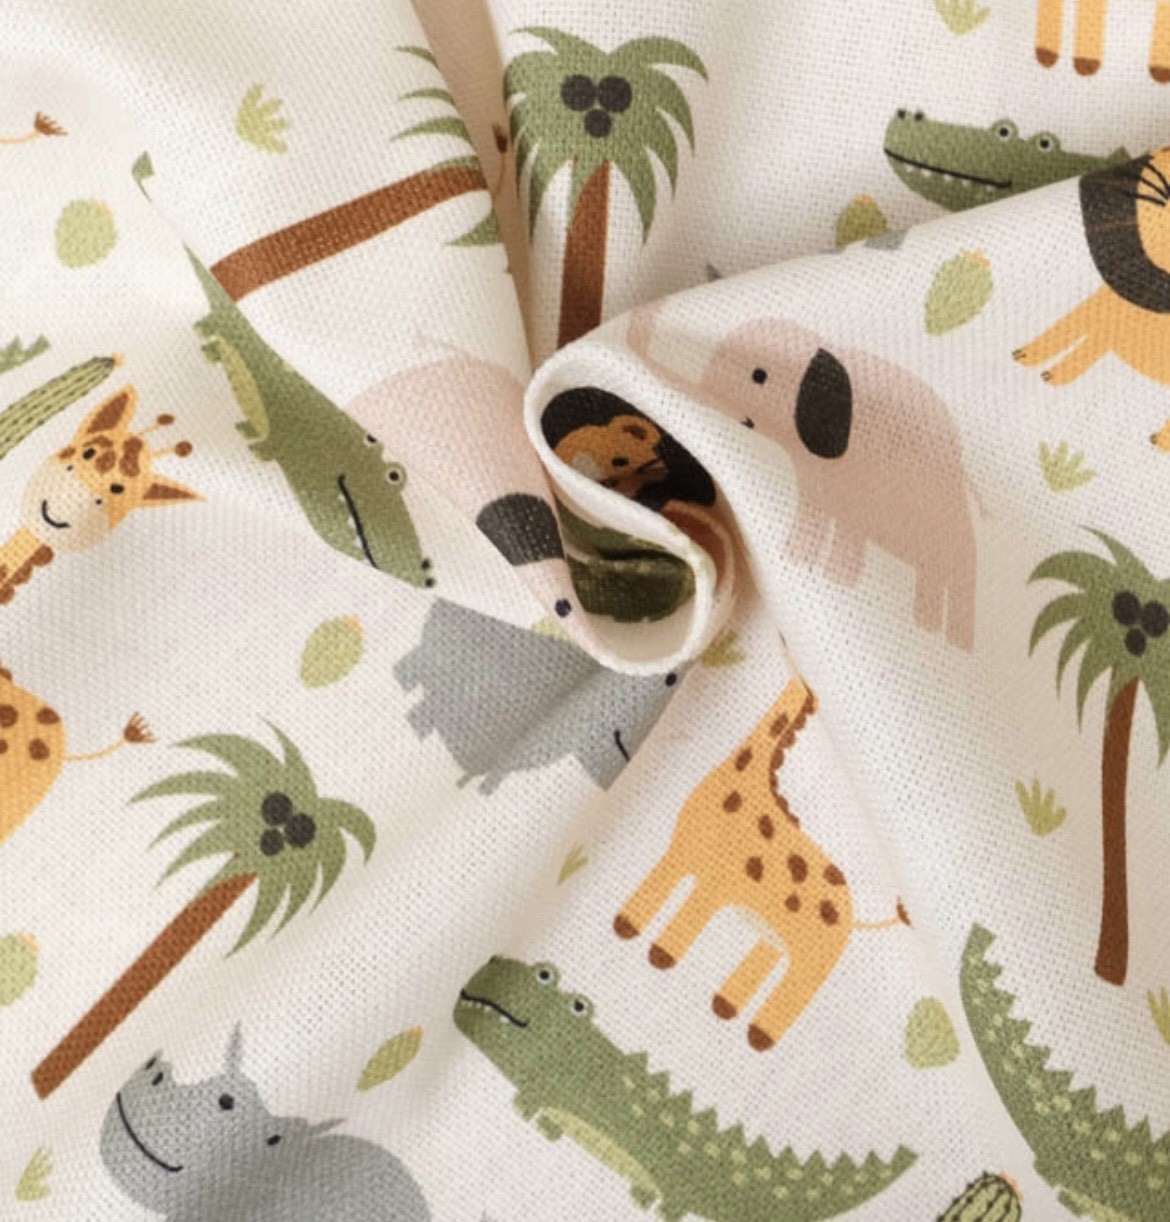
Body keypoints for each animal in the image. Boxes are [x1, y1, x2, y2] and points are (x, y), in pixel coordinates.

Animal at [614, 676, 909, 1052]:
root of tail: (853, 915)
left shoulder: (715, 885)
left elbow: (689, 917)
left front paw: (660, 955)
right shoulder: (679, 854)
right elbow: (656, 888)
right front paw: (626, 928)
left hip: (814, 956)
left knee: (798, 989)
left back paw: (760, 1036)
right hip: (773, 937)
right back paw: (726, 1009)